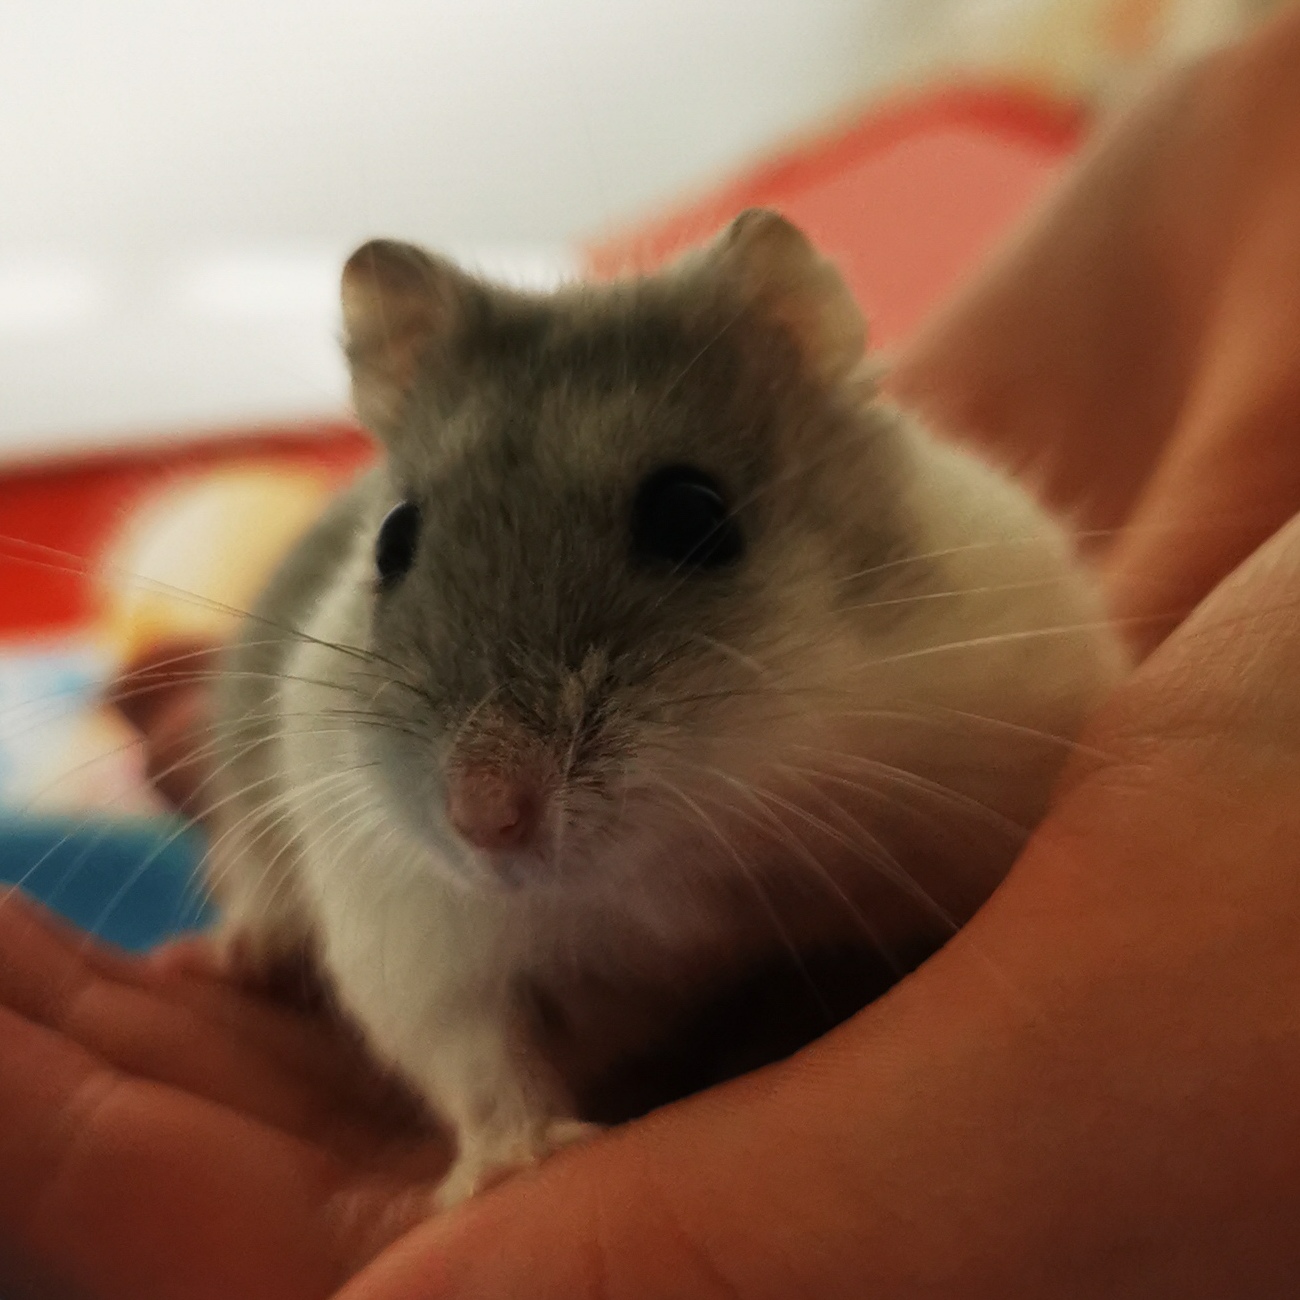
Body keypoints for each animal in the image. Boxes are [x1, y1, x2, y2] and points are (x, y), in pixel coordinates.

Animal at [206, 209, 1126, 1207]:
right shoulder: (410, 931)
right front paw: (521, 1162)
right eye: (392, 540)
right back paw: (240, 959)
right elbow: (477, 1059)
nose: (485, 819)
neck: (678, 865)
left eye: (693, 514)